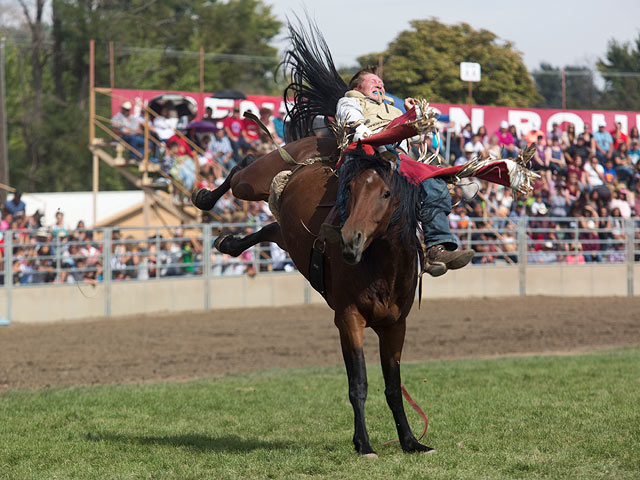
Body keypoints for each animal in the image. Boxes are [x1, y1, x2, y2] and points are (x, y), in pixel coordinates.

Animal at [194, 148, 430, 456]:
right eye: (350, 189)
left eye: (386, 193)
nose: (350, 241)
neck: (380, 269)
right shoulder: (348, 320)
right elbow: (358, 383)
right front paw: (364, 444)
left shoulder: (395, 326)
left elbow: (393, 387)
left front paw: (410, 441)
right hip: (253, 182)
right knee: (239, 169)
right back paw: (205, 198)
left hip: (287, 233)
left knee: (270, 228)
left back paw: (228, 243)